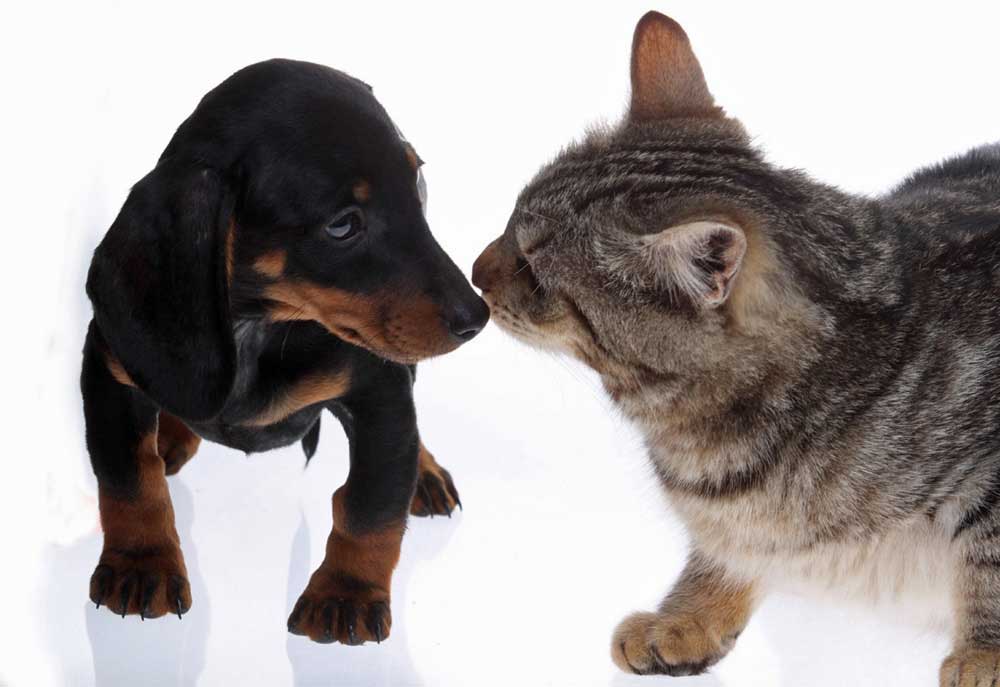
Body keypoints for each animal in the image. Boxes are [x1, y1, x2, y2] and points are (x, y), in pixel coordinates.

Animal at [81, 59, 488, 644]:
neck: (261, 324)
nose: (477, 316)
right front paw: (142, 563)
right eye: (342, 225)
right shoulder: (108, 371)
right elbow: (129, 479)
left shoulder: (380, 395)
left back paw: (425, 472)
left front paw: (345, 594)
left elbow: (370, 506)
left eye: (416, 181)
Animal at [472, 12, 1000, 687]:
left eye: (534, 268)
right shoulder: (733, 525)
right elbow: (722, 549)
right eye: (509, 223)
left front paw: (982, 655)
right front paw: (688, 614)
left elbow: (986, 564)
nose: (473, 272)